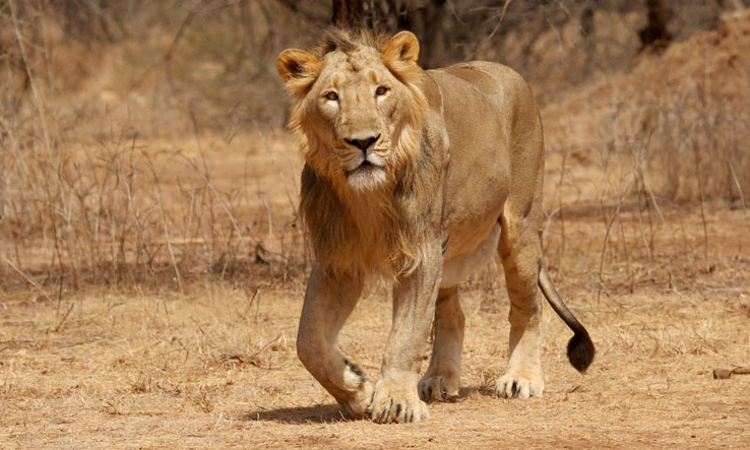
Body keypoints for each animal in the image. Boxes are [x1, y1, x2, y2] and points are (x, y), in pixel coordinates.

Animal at [276, 29, 594, 424]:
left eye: (381, 91)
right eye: (331, 97)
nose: (364, 142)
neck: (367, 196)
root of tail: (508, 72)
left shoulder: (421, 250)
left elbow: (406, 335)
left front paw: (395, 402)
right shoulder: (338, 259)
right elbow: (308, 340)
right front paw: (356, 390)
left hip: (520, 227)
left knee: (527, 308)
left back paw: (521, 379)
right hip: (451, 248)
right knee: (452, 314)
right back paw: (439, 378)